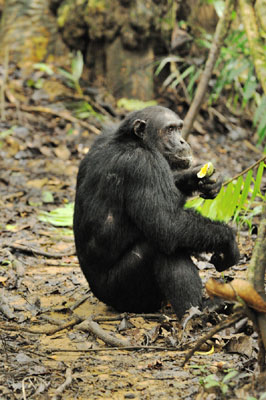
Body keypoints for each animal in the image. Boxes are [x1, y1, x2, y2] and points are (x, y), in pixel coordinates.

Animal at [74, 105, 240, 318]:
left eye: (179, 128)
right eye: (169, 129)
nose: (182, 140)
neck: (133, 140)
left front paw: (204, 179)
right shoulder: (143, 165)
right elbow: (168, 223)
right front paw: (229, 241)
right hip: (122, 293)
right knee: (160, 247)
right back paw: (198, 312)